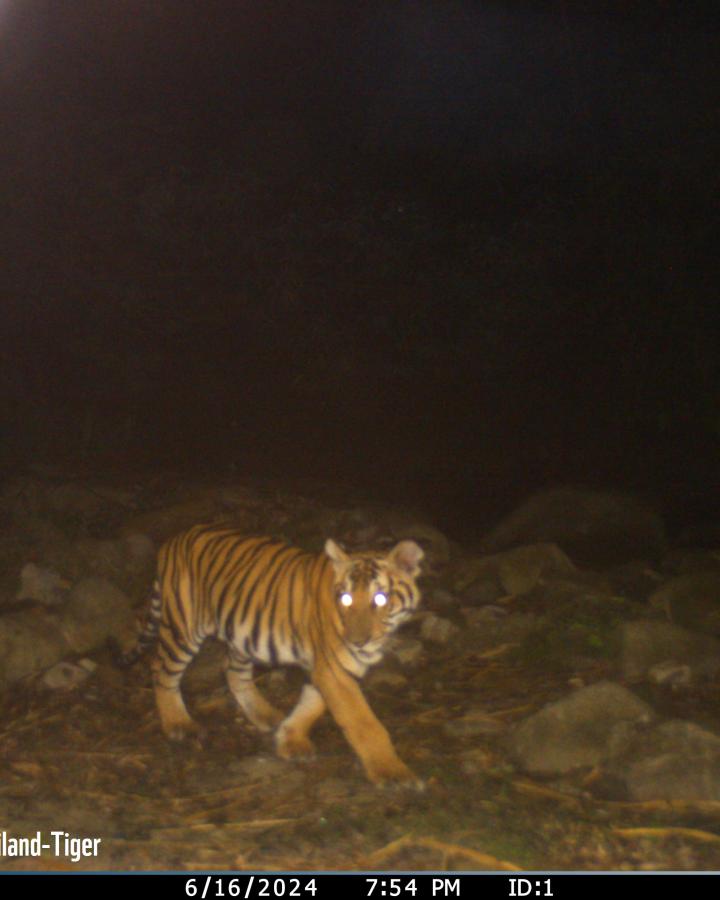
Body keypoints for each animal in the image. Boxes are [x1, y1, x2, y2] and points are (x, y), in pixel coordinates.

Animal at [114, 523, 425, 787]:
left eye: (381, 598)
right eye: (346, 598)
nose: (357, 642)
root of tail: (174, 540)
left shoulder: (328, 669)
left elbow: (312, 703)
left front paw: (290, 738)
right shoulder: (334, 670)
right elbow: (364, 722)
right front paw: (393, 773)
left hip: (241, 634)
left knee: (233, 673)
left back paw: (265, 715)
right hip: (184, 628)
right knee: (162, 670)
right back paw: (178, 724)